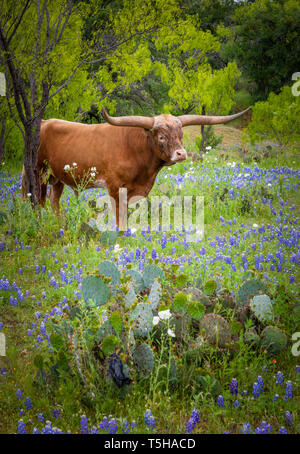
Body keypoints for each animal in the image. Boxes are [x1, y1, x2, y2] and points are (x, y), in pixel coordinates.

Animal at [22, 105, 250, 227]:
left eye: (181, 134)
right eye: (161, 136)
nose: (182, 153)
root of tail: (43, 123)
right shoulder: (115, 188)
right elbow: (119, 215)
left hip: (57, 177)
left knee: (54, 201)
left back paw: (59, 224)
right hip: (38, 172)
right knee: (37, 201)